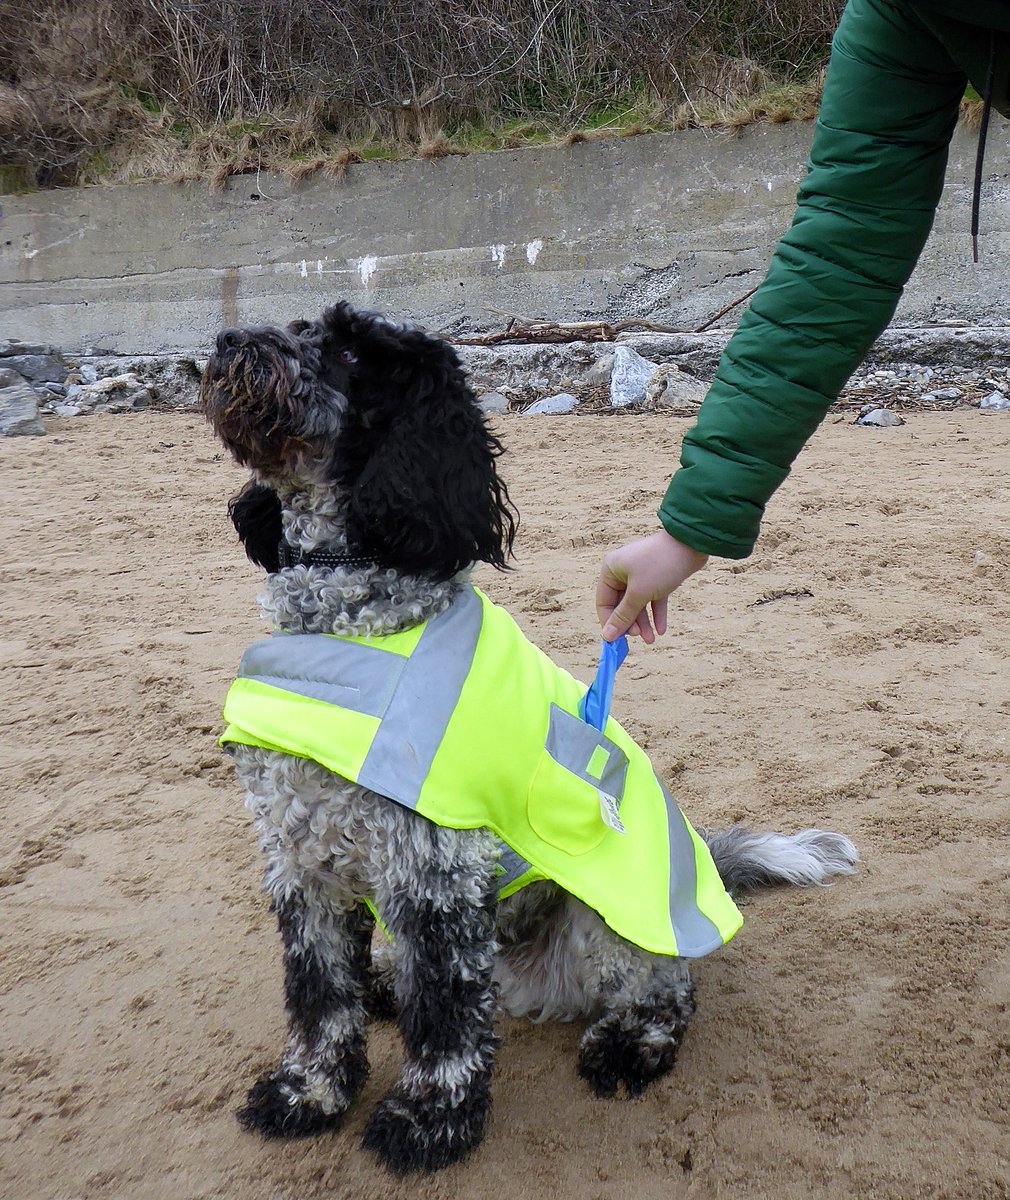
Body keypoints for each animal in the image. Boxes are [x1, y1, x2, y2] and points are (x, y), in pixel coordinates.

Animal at [200, 300, 854, 1171]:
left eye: (347, 352)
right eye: (301, 326)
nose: (227, 340)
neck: (351, 621)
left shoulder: (434, 869)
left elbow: (445, 1020)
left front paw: (427, 1122)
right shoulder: (299, 860)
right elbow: (319, 997)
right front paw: (308, 1094)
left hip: (604, 920)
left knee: (665, 988)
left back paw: (630, 1044)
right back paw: (387, 986)